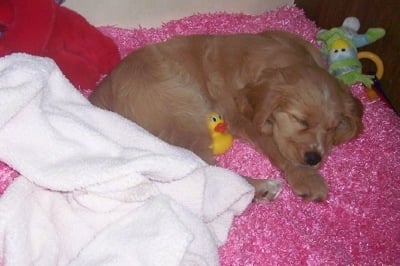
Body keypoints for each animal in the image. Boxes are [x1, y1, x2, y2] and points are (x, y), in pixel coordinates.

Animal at [89, 30, 364, 202]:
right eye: (300, 120)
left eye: (332, 128)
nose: (314, 159)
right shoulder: (238, 116)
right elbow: (273, 145)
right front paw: (306, 177)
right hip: (184, 111)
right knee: (205, 169)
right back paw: (261, 187)